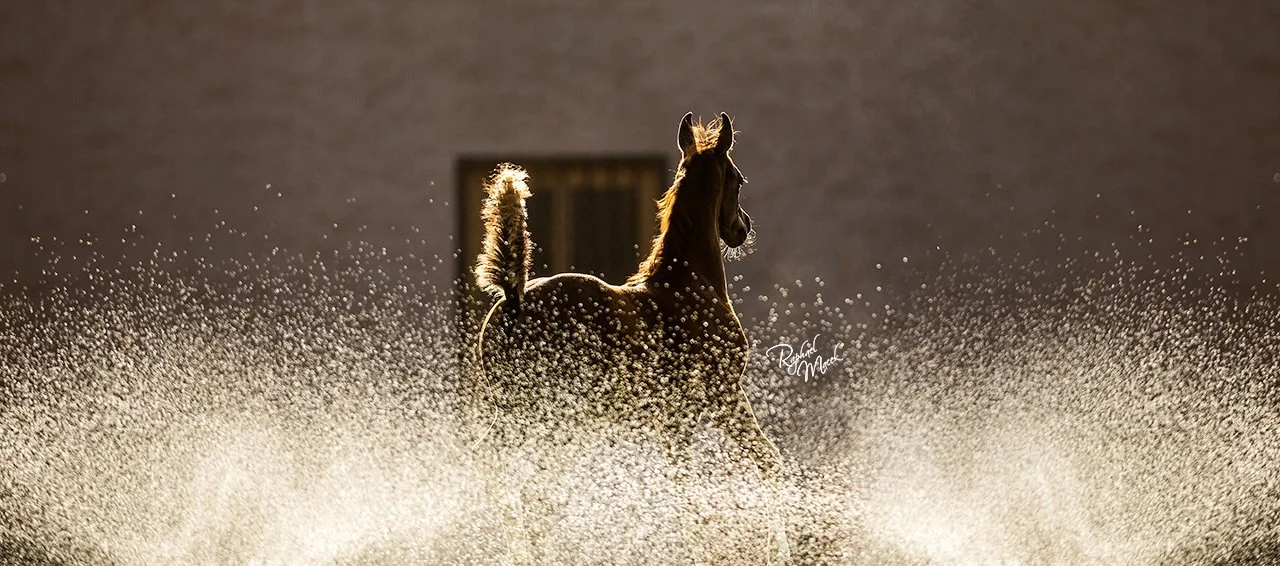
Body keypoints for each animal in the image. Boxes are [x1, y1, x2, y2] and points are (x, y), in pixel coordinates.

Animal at [472, 112, 789, 564]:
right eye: (739, 179)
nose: (741, 228)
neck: (690, 281)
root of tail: (514, 298)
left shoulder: (675, 418)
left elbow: (683, 486)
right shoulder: (725, 392)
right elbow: (766, 463)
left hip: (521, 414)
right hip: (553, 417)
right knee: (534, 490)